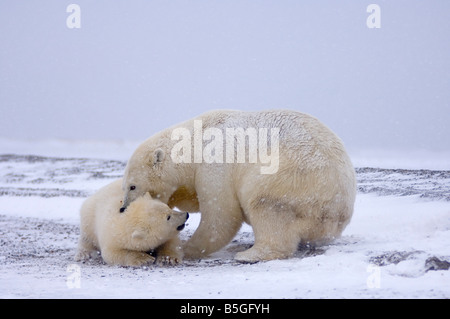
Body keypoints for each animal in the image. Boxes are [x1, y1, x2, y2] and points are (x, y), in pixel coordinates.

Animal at [119, 110, 356, 262]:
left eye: (132, 186)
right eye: (125, 187)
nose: (123, 208)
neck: (194, 142)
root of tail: (337, 212)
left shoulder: (214, 165)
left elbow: (221, 215)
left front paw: (185, 248)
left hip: (291, 179)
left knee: (267, 207)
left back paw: (249, 254)